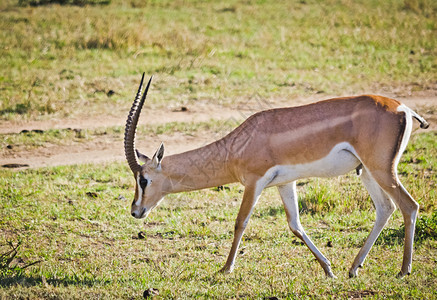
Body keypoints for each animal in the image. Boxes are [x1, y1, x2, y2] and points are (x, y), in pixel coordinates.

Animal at [123, 73, 430, 278]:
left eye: (143, 179)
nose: (136, 211)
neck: (237, 146)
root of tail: (403, 108)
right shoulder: (285, 183)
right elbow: (295, 224)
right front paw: (328, 269)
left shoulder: (254, 183)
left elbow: (240, 222)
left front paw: (225, 268)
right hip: (366, 171)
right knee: (385, 208)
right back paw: (354, 268)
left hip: (381, 169)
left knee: (409, 206)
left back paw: (403, 271)